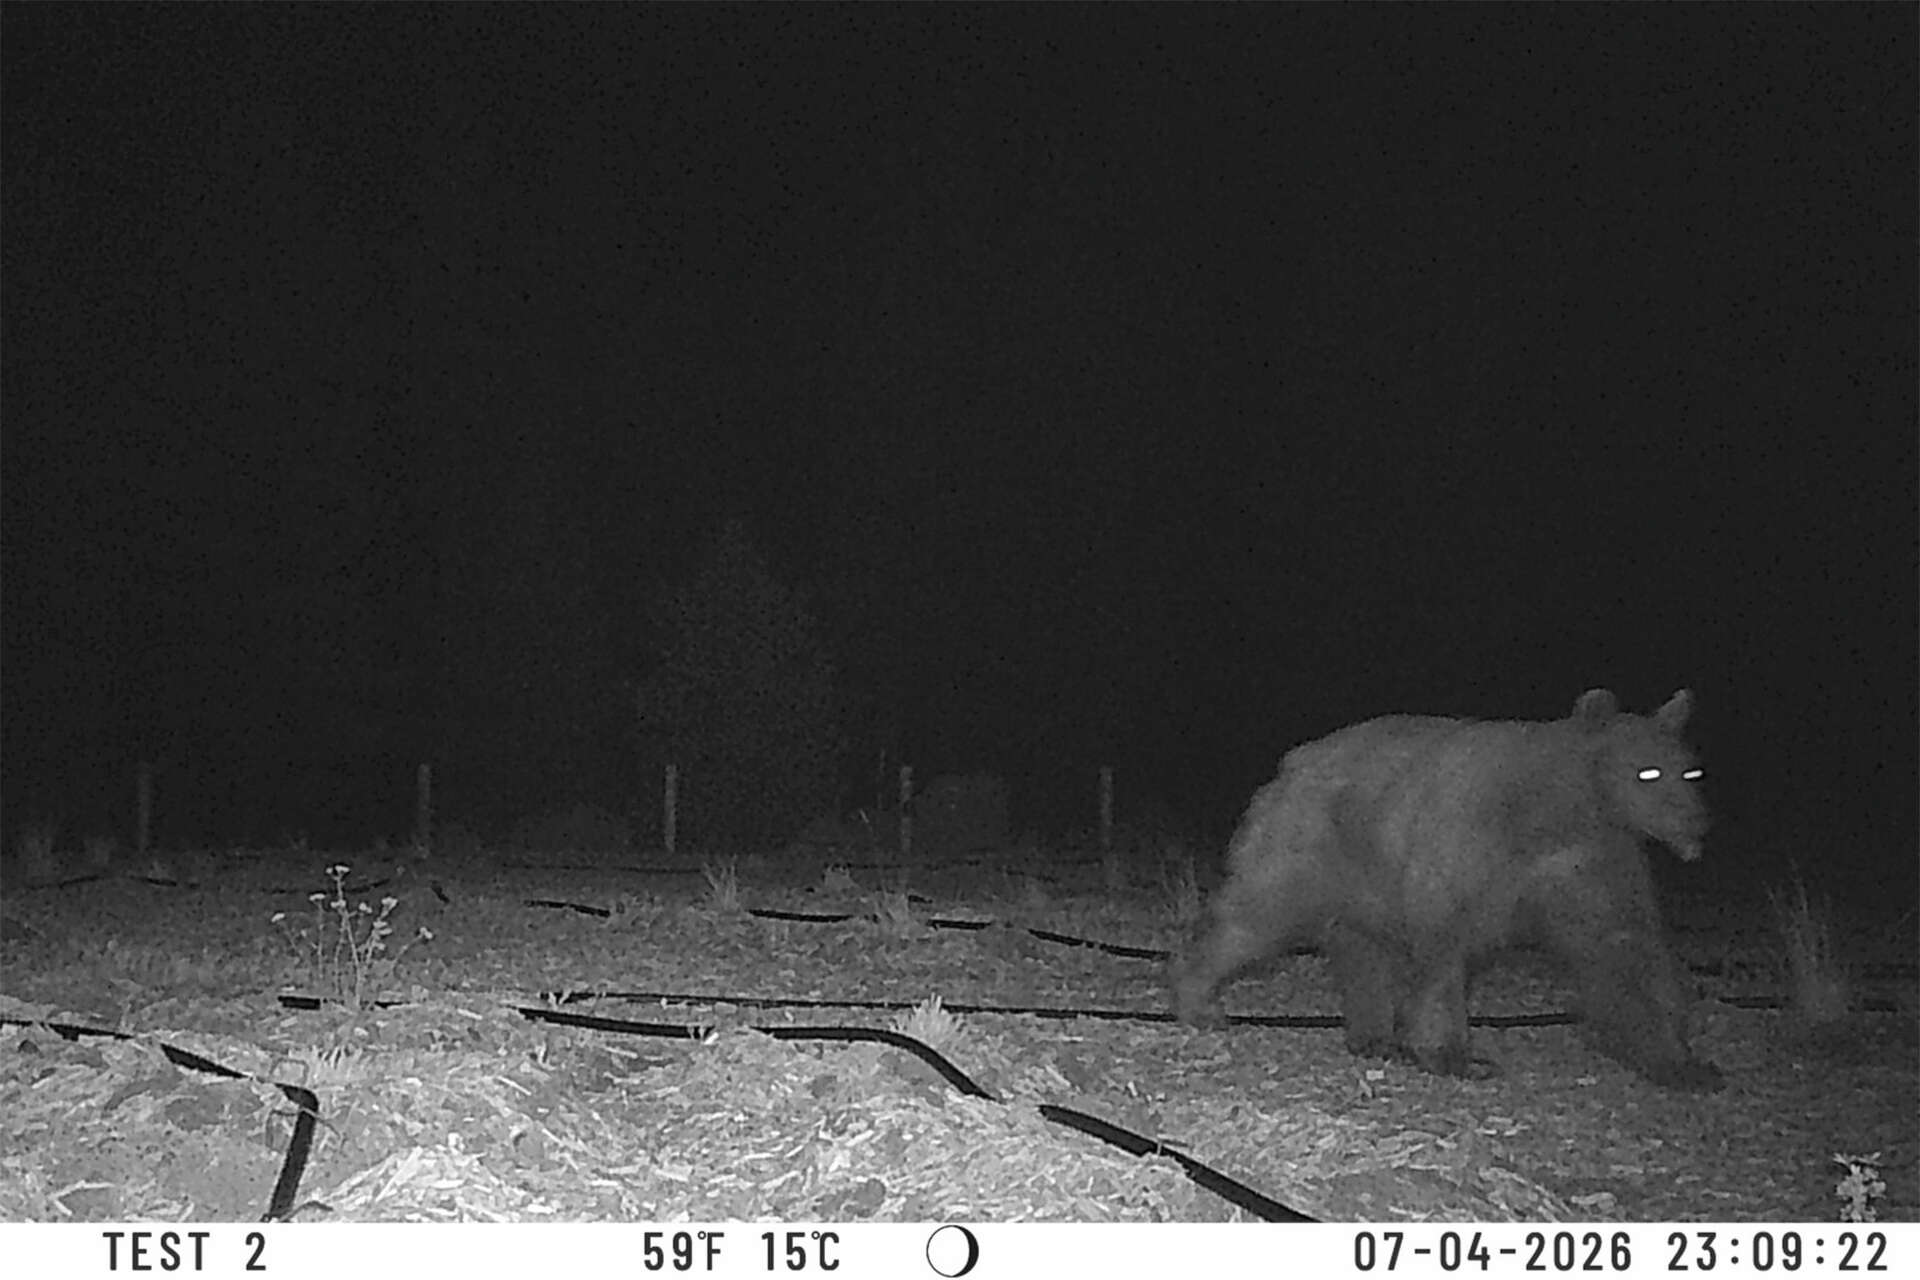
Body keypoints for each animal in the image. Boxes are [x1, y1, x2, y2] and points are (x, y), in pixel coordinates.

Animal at [1172, 689, 1723, 1091]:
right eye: (1646, 772)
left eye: (1690, 769)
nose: (1697, 825)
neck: (1561, 810)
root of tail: (1294, 761)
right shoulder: (1470, 843)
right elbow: (1444, 947)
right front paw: (1455, 1054)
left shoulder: (1593, 863)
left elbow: (1624, 945)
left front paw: (1682, 1062)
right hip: (1311, 843)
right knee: (1257, 913)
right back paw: (1198, 998)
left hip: (1367, 870)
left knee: (1362, 946)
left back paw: (1373, 1036)